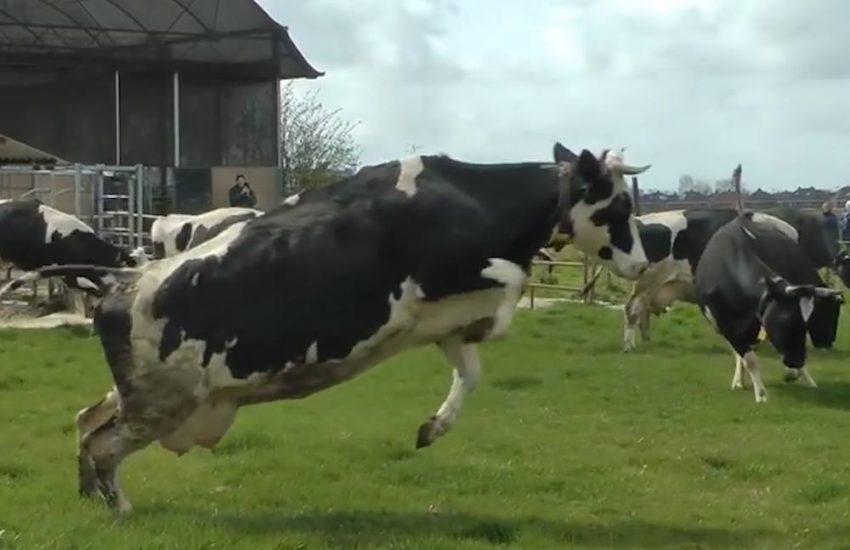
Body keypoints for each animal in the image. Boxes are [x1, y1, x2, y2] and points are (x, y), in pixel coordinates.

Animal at [0, 144, 650, 512]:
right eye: (619, 206)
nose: (644, 262)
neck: (470, 198)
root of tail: (122, 280)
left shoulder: (445, 326)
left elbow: (470, 371)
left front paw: (433, 427)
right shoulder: (448, 274)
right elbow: (513, 282)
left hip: (143, 394)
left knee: (85, 422)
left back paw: (91, 500)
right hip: (157, 403)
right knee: (103, 443)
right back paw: (119, 509)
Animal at [622, 207, 850, 353]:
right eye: (832, 310)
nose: (829, 343)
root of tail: (640, 221)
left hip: (647, 285)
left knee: (641, 311)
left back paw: (645, 338)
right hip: (649, 281)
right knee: (633, 309)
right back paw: (630, 346)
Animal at [695, 212, 843, 403]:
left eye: (807, 324)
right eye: (789, 321)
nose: (797, 361)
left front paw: (792, 374)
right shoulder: (727, 327)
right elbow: (748, 359)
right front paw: (760, 393)